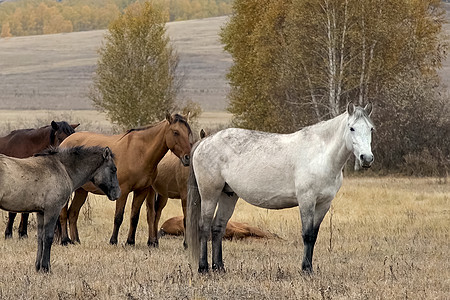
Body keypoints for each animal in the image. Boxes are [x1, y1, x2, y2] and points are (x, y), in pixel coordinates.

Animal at [58, 113, 192, 245]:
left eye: (188, 132)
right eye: (176, 132)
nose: (188, 158)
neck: (140, 153)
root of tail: (64, 143)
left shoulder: (141, 191)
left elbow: (134, 217)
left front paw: (130, 242)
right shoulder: (123, 191)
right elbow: (118, 217)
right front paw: (113, 241)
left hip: (82, 190)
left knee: (73, 213)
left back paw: (76, 241)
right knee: (64, 213)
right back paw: (65, 240)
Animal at [185, 103, 374, 274]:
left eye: (371, 129)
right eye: (352, 128)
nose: (366, 158)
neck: (320, 156)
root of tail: (205, 141)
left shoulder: (323, 204)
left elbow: (314, 235)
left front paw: (309, 268)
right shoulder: (306, 201)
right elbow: (307, 234)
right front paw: (306, 270)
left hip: (228, 195)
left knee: (218, 228)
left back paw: (219, 268)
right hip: (210, 195)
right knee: (204, 227)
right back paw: (203, 268)